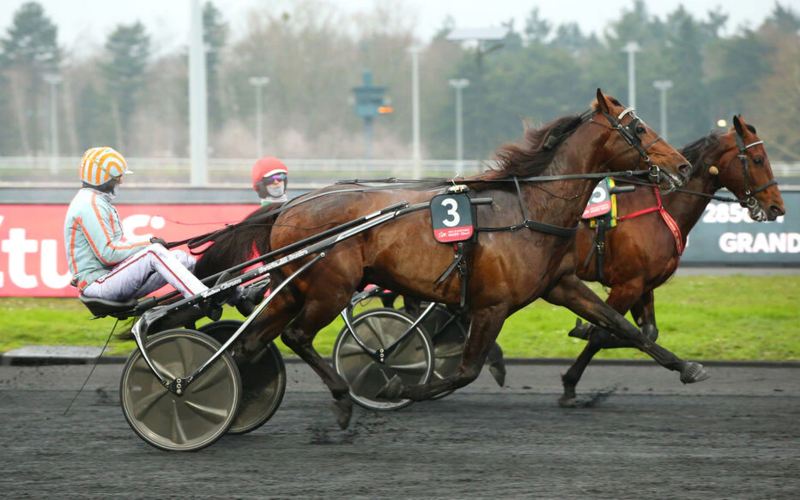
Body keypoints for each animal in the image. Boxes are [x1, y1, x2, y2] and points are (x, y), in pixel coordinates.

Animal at [556, 114, 788, 406]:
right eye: (758, 159)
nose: (777, 207)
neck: (660, 208)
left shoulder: (643, 285)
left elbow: (646, 334)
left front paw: (582, 329)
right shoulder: (627, 285)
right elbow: (602, 333)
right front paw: (570, 382)